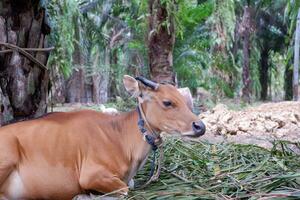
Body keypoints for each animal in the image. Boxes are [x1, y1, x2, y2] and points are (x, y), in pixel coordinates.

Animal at [0, 76, 205, 199]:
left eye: (184, 99)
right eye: (167, 102)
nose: (200, 126)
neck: (121, 137)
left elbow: (129, 185)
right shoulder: (91, 175)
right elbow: (124, 189)